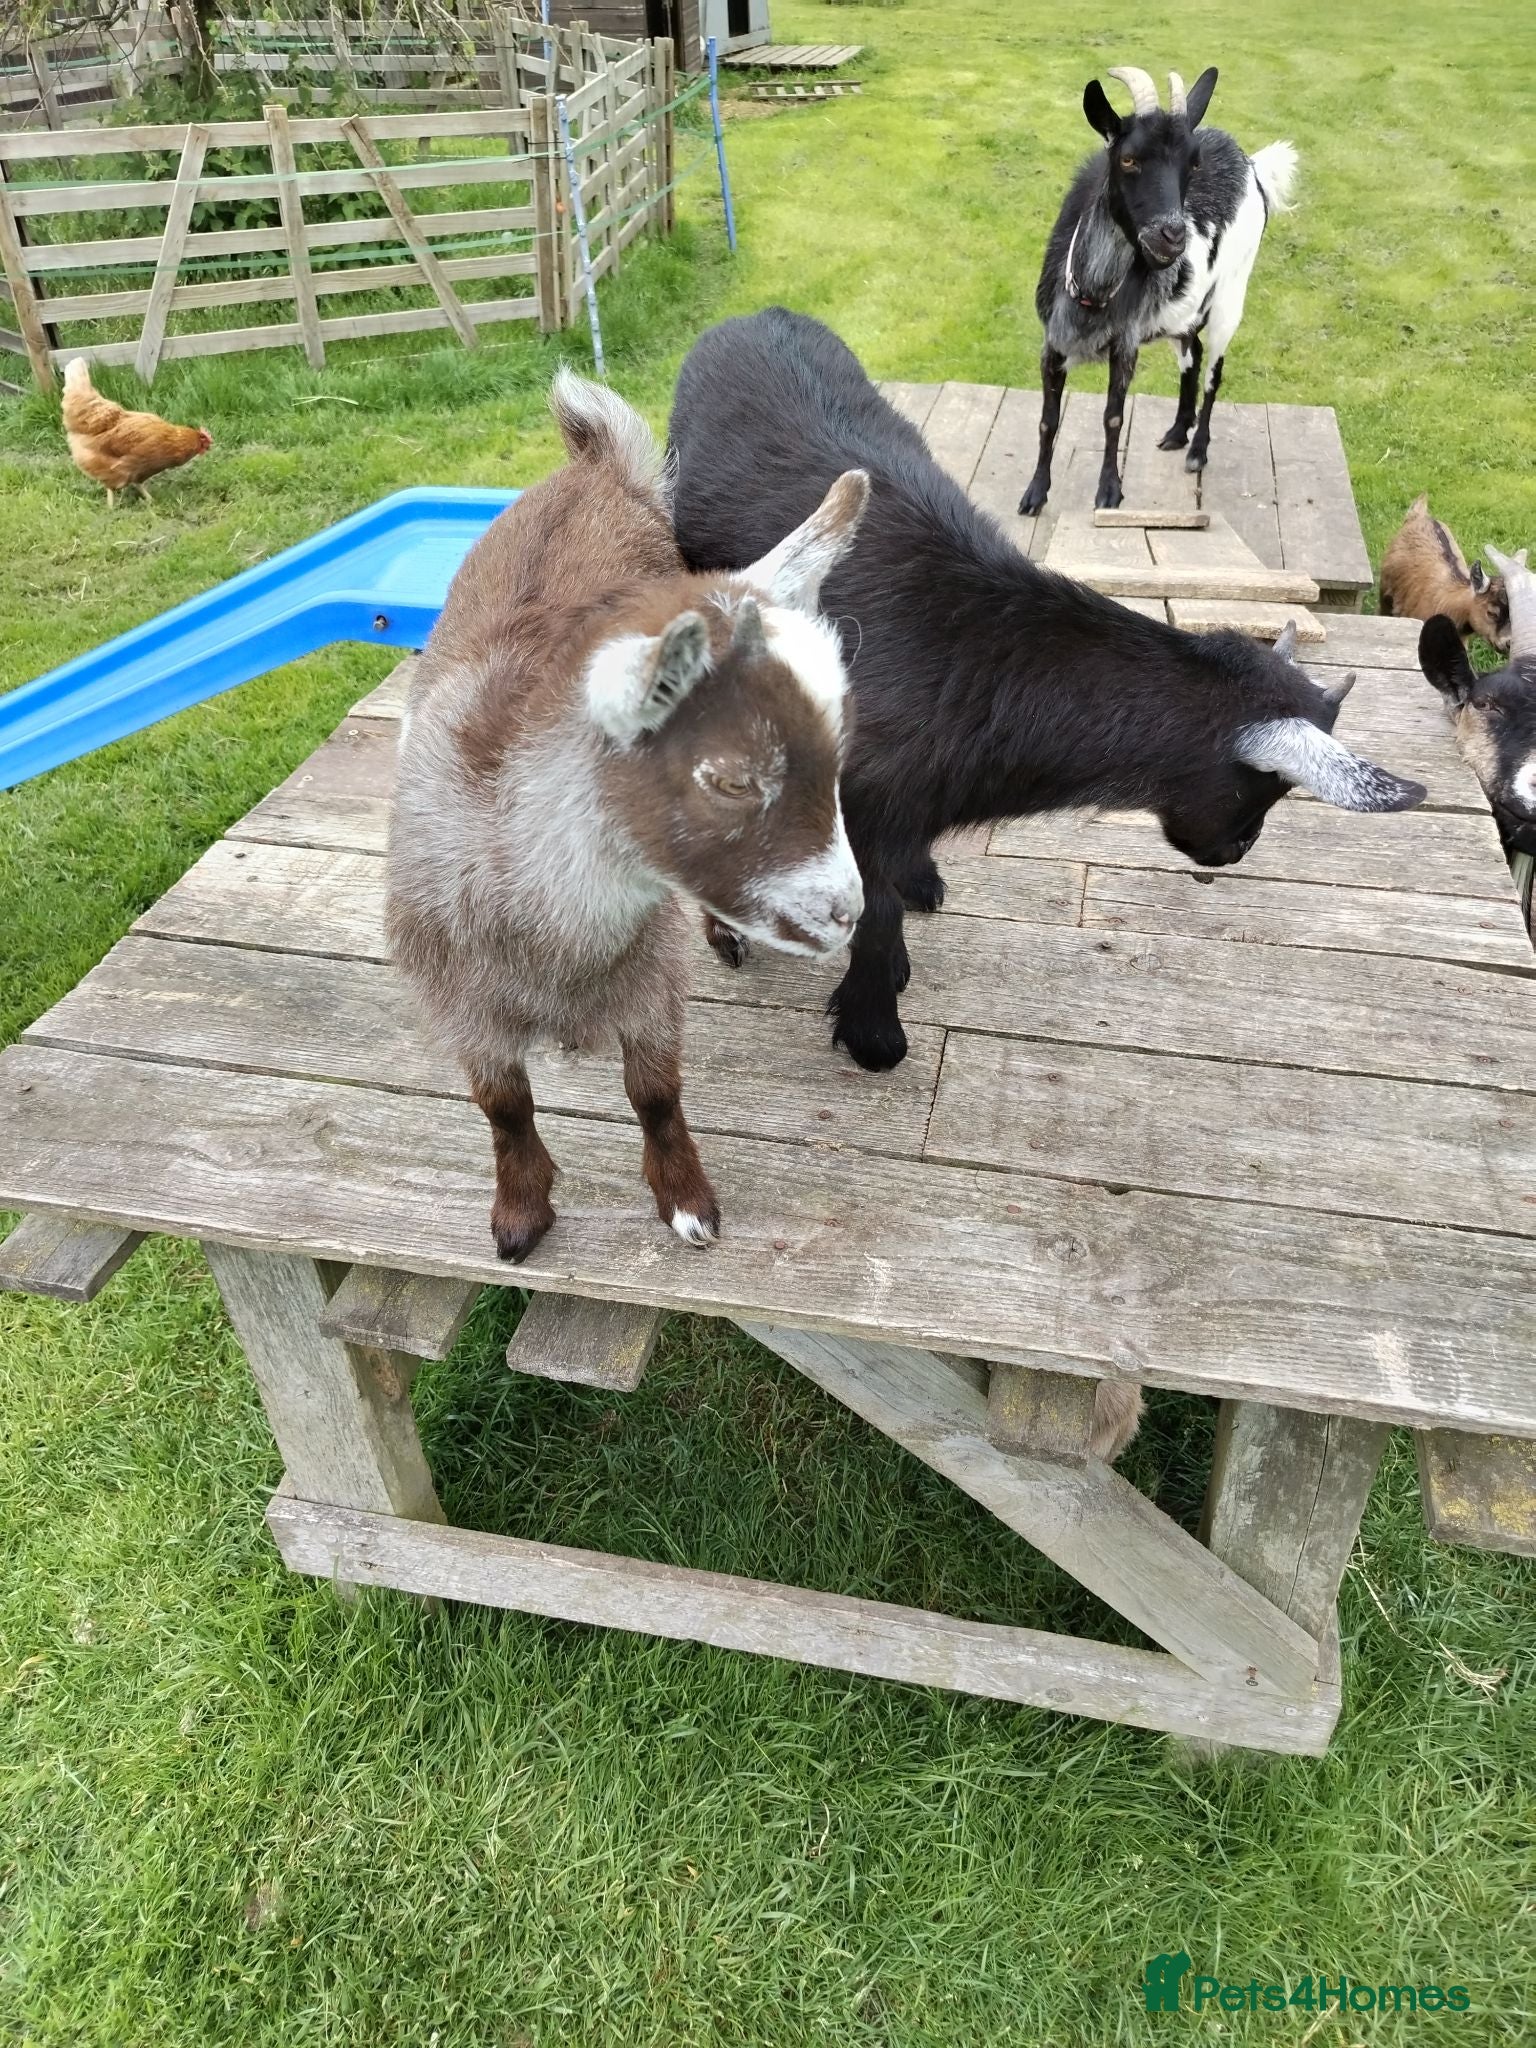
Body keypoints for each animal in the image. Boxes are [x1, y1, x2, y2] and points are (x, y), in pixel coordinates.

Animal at [387, 368, 869, 1262]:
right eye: (729, 779)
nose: (847, 912)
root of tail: (594, 467)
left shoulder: (649, 979)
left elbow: (654, 1093)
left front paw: (686, 1203)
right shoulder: (459, 1004)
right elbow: (503, 1106)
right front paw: (520, 1214)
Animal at [669, 307, 1427, 1078]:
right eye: (1262, 784)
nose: (1235, 853)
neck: (979, 664)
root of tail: (757, 315)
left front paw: (917, 897)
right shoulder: (856, 801)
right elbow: (870, 912)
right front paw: (875, 1033)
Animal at [1020, 65, 1297, 515]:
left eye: (1193, 163)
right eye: (1128, 158)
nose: (1172, 237)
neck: (1093, 290)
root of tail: (1251, 164)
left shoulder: (1126, 343)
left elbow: (1113, 417)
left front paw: (1109, 491)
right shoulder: (1052, 344)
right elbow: (1048, 420)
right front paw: (1035, 492)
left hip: (1231, 296)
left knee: (1214, 370)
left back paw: (1197, 450)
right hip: (1184, 311)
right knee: (1192, 355)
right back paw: (1177, 432)